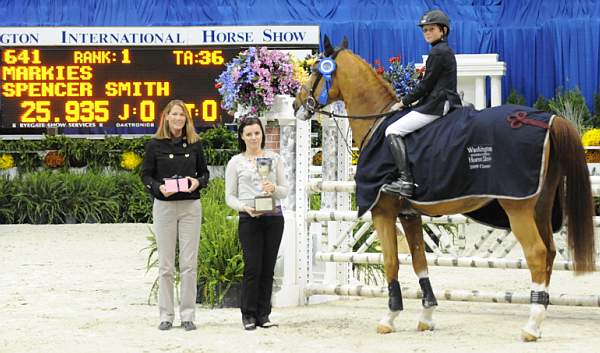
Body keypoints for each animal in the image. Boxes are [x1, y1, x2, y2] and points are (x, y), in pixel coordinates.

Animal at [292, 36, 596, 340]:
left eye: (316, 70)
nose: (297, 105)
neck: (377, 124)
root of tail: (546, 119)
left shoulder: (383, 212)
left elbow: (392, 262)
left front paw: (389, 318)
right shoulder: (409, 215)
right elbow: (419, 261)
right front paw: (426, 316)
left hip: (518, 209)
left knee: (537, 253)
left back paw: (531, 326)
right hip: (541, 207)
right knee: (550, 253)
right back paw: (539, 316)